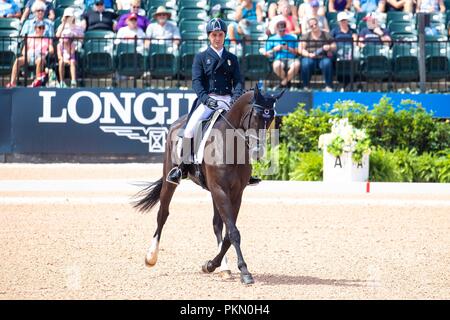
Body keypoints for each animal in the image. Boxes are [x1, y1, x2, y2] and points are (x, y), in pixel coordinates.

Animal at [133, 85, 284, 284]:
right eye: (257, 116)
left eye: (271, 117)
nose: (259, 152)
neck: (230, 145)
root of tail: (178, 122)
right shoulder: (220, 189)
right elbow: (233, 232)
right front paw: (244, 272)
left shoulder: (235, 193)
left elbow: (228, 232)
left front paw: (212, 265)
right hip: (171, 179)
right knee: (163, 214)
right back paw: (151, 256)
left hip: (213, 192)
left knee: (216, 225)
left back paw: (224, 268)